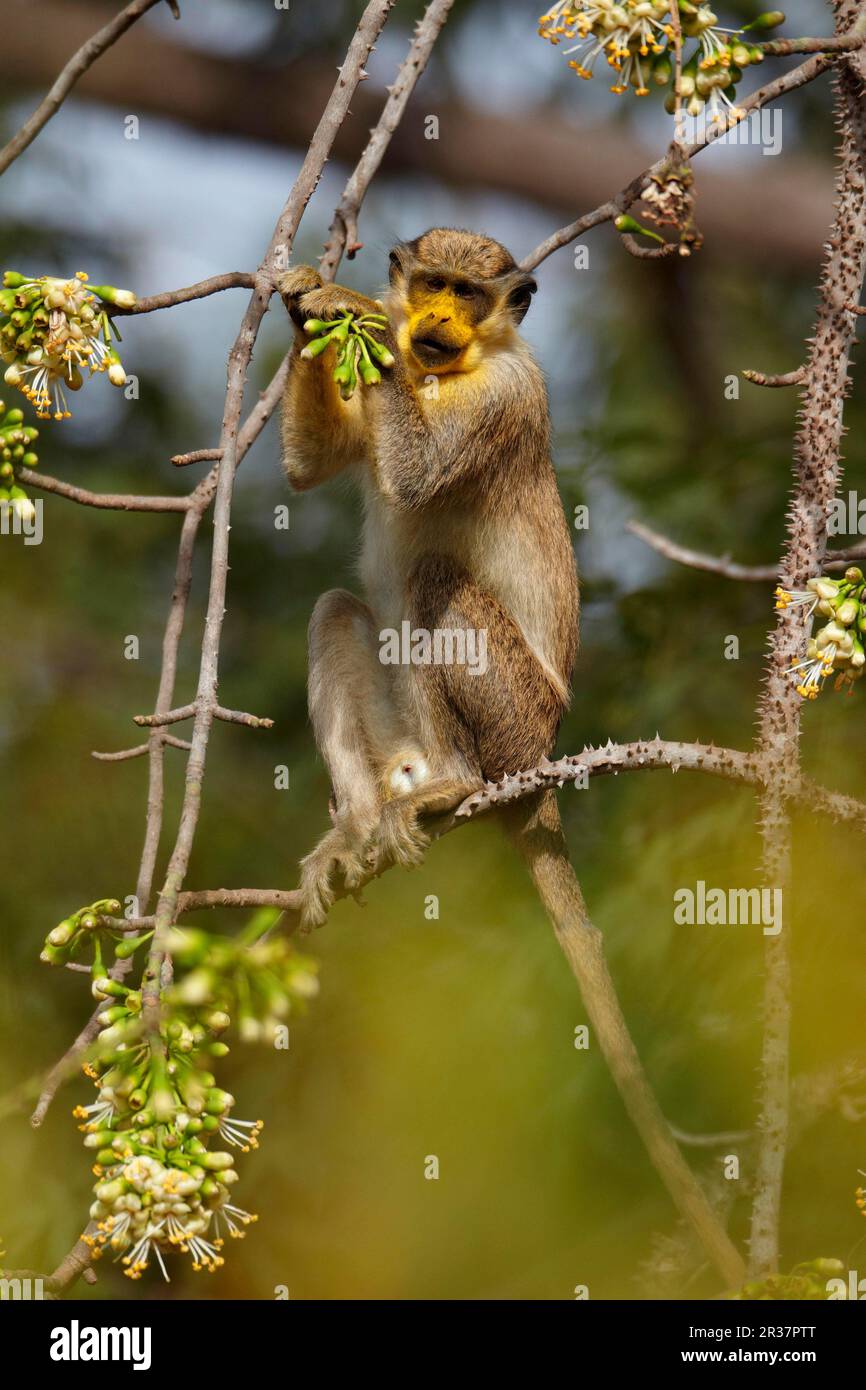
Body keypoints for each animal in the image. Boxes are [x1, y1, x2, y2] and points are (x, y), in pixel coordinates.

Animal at [280, 225, 578, 922]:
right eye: (432, 284)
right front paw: (305, 299)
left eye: (466, 294)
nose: (438, 317)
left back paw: (454, 784)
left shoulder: (507, 391)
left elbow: (414, 475)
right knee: (335, 611)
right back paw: (355, 831)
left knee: (434, 582)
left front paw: (353, 308)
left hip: (516, 724)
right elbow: (310, 465)